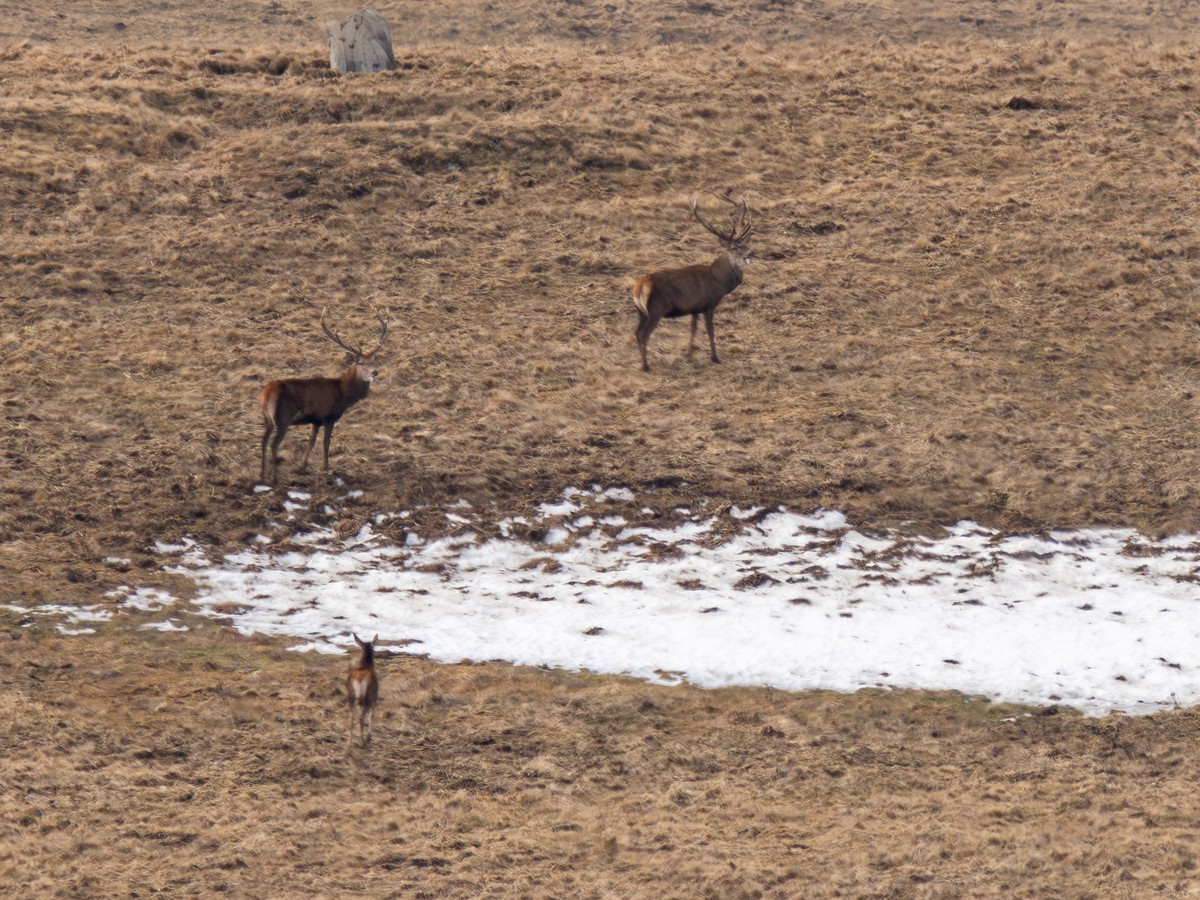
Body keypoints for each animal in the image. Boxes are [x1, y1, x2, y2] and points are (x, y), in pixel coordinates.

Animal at [259, 308, 389, 485]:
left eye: (374, 361)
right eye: (361, 363)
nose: (375, 373)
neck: (343, 394)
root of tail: (266, 394)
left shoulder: (316, 420)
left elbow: (311, 442)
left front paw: (302, 468)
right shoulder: (329, 416)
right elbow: (326, 443)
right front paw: (326, 468)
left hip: (268, 418)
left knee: (263, 441)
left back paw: (262, 475)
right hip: (283, 418)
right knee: (273, 444)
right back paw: (274, 478)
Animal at [632, 194, 753, 372]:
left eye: (745, 245)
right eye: (733, 248)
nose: (751, 253)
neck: (719, 281)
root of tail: (639, 288)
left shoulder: (694, 307)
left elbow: (693, 329)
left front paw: (689, 353)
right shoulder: (708, 304)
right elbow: (710, 330)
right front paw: (715, 357)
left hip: (641, 312)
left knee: (636, 332)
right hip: (655, 310)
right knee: (643, 334)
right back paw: (645, 366)